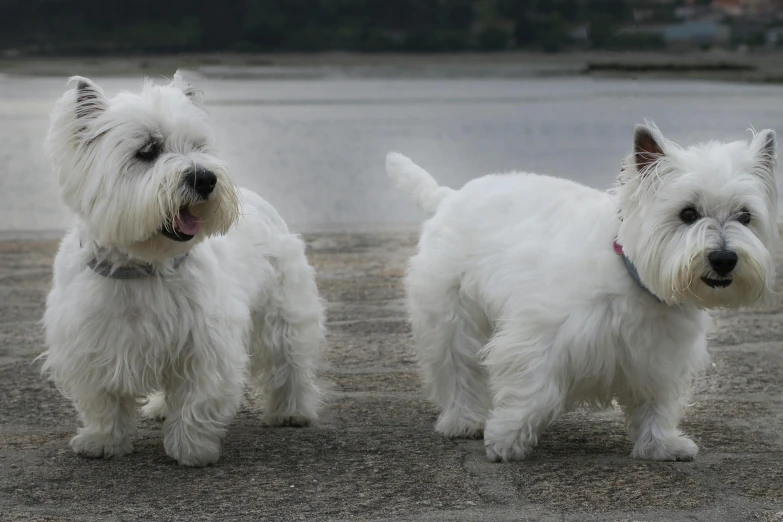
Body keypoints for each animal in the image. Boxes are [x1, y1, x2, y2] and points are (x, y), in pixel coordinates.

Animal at [41, 71, 324, 466]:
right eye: (147, 150)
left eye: (198, 145)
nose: (205, 178)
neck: (141, 265)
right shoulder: (91, 344)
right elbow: (104, 400)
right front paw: (101, 441)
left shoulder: (204, 343)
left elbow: (197, 399)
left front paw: (192, 449)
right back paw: (160, 408)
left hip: (283, 312)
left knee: (290, 362)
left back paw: (292, 412)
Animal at [388, 124, 776, 462]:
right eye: (688, 213)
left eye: (745, 216)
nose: (724, 259)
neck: (631, 273)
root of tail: (449, 197)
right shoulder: (540, 337)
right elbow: (533, 391)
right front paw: (505, 440)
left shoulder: (660, 356)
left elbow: (657, 402)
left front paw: (661, 445)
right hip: (451, 316)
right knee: (457, 369)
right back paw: (463, 421)